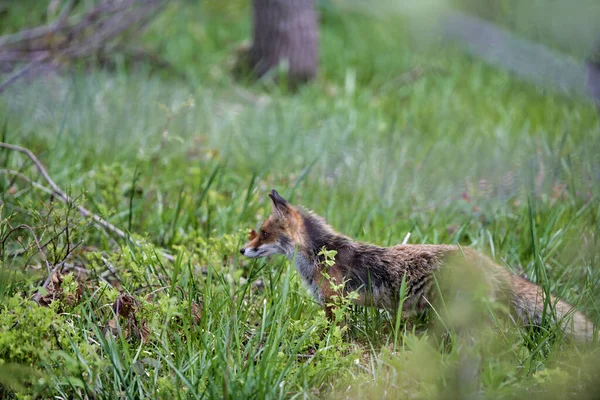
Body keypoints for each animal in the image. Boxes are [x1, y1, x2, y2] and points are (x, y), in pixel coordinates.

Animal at [240, 190, 596, 340]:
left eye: (264, 233)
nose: (243, 250)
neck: (320, 254)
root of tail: (486, 261)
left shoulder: (334, 303)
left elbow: (333, 334)